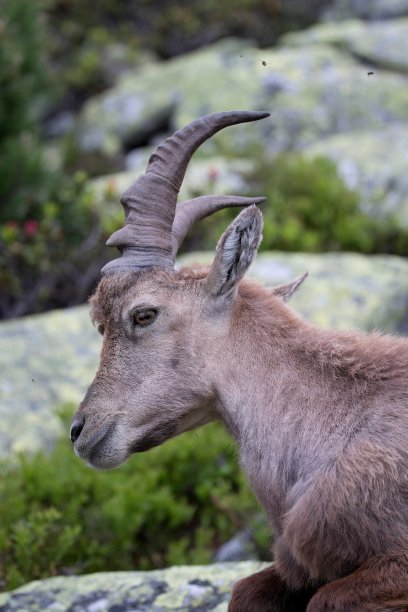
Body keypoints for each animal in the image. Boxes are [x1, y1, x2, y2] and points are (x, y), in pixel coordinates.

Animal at [71, 111, 408, 612]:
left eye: (144, 313)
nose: (80, 431)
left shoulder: (393, 564)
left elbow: (326, 600)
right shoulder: (294, 567)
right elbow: (244, 590)